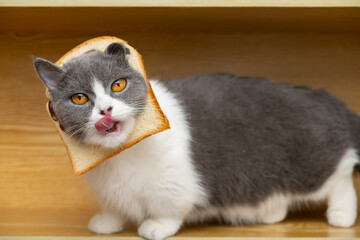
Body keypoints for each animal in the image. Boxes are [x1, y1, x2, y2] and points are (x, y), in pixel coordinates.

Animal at [32, 42, 358, 240]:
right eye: (79, 98)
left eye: (118, 85)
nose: (105, 109)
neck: (120, 155)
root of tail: (324, 97)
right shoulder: (110, 188)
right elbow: (115, 205)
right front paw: (108, 221)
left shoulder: (175, 182)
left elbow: (170, 206)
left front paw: (156, 226)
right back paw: (266, 212)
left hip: (312, 165)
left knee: (340, 177)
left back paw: (341, 215)